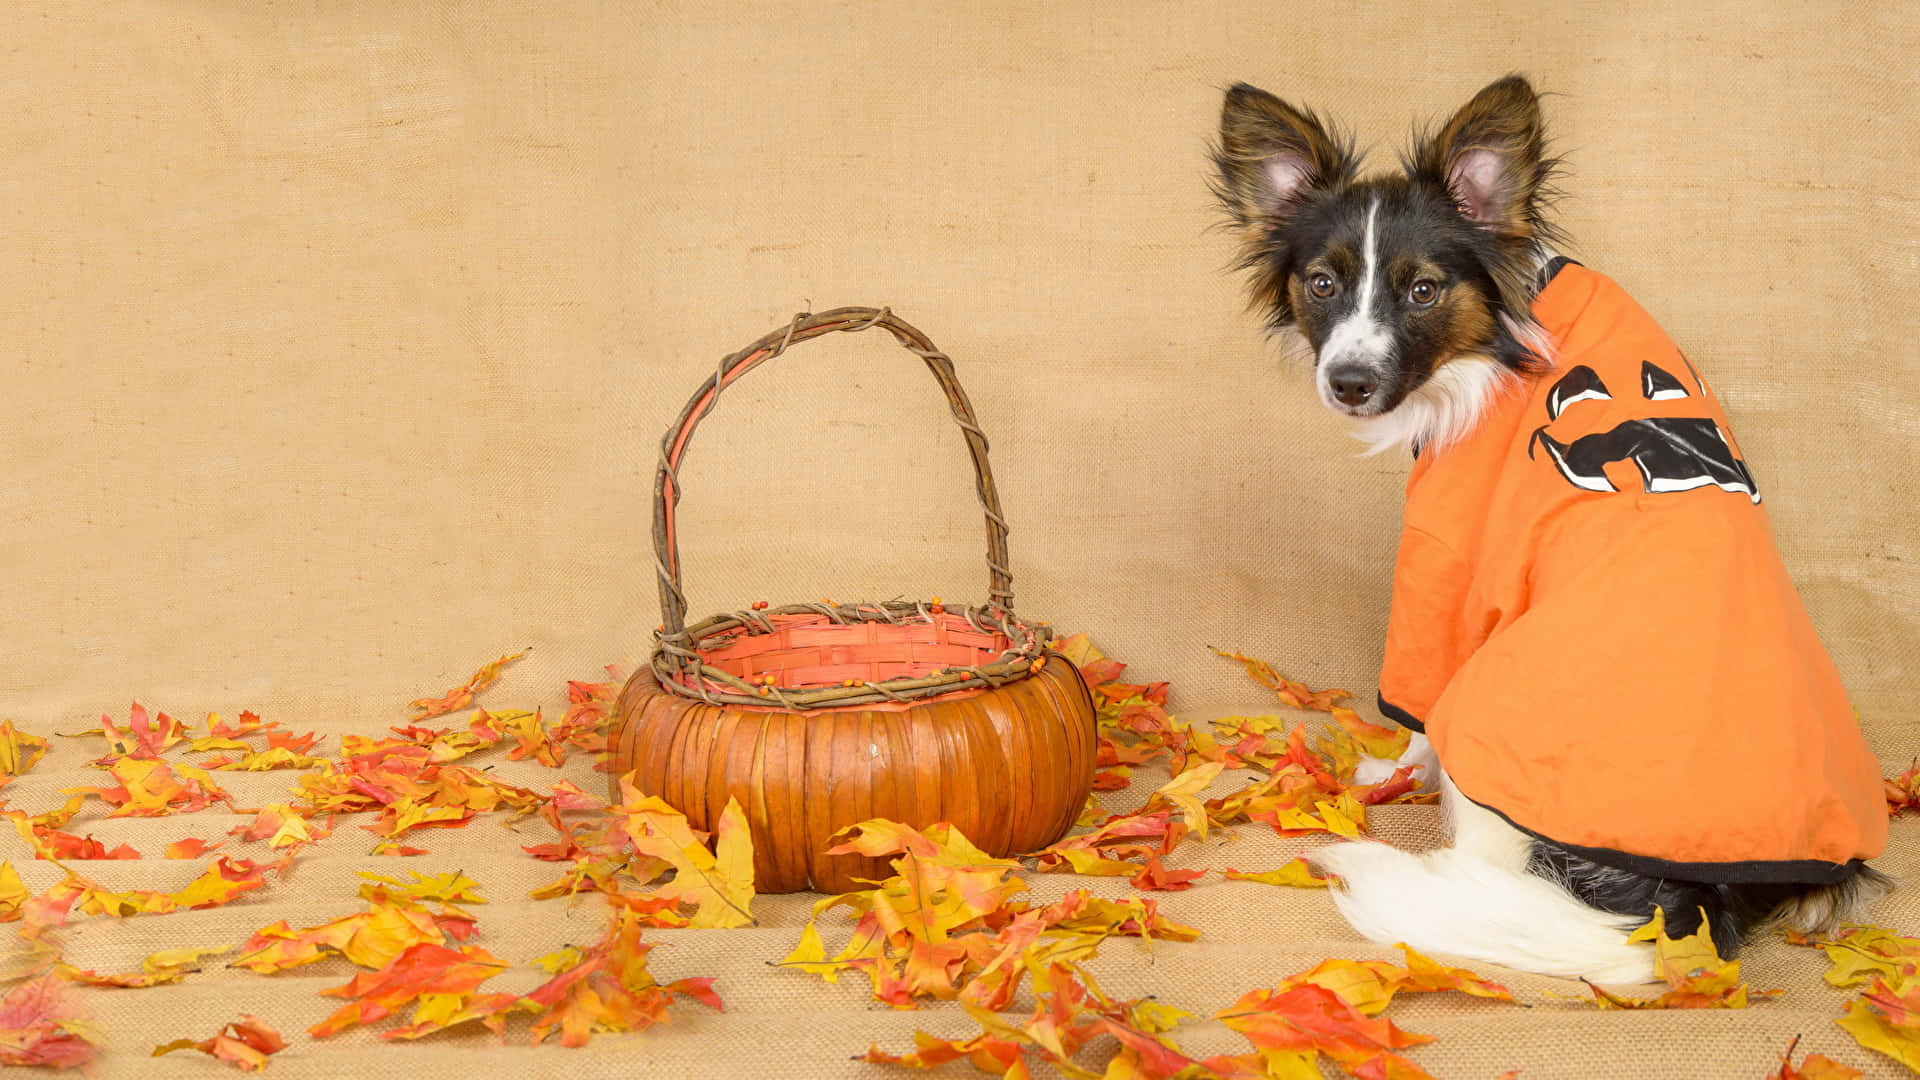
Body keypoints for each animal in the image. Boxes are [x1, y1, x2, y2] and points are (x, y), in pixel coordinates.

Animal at [1213, 77, 1889, 983]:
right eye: (1322, 284)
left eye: (1423, 290)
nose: (1348, 383)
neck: (1498, 341)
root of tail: (1688, 907)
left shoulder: (1446, 573)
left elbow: (1416, 715)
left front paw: (1391, 774)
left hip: (1492, 724)